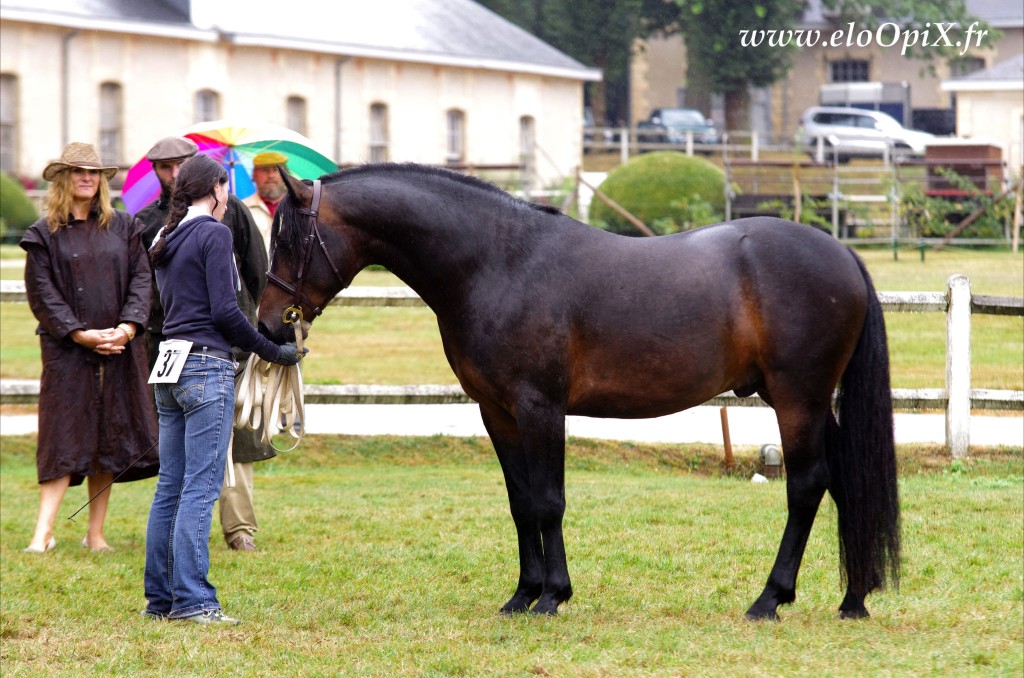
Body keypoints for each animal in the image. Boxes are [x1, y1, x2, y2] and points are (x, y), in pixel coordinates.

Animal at [260, 164, 901, 622]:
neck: (496, 263)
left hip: (799, 399)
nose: (267, 324)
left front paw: (553, 596)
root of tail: (841, 252)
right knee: (845, 479)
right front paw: (522, 595)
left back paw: (770, 599)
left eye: (290, 241)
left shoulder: (540, 407)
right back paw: (853, 599)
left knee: (807, 485)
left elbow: (549, 500)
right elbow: (521, 502)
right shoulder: (496, 411)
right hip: (805, 402)